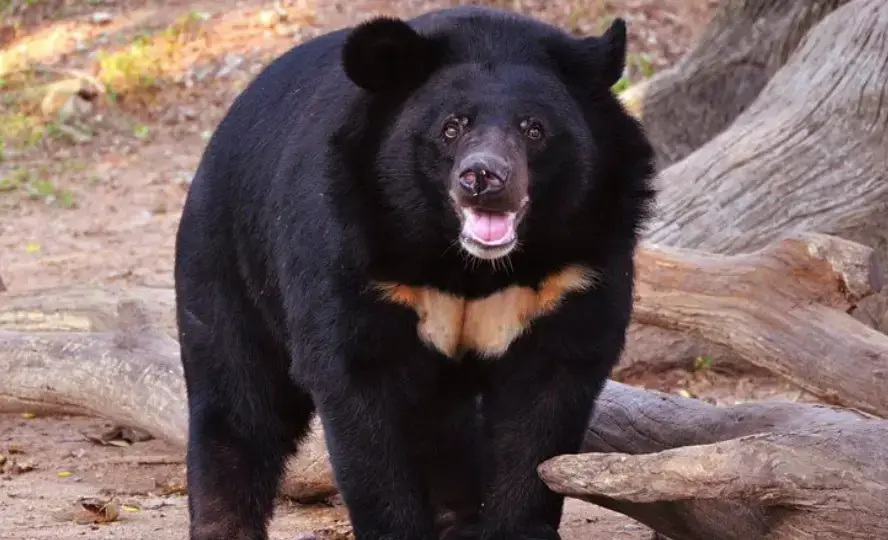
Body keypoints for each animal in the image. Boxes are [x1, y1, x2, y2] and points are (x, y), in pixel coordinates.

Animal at [175, 5, 652, 540]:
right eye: (451, 128)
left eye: (534, 129)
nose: (483, 178)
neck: (469, 266)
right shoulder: (352, 252)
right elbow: (361, 395)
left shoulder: (573, 272)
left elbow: (544, 405)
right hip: (227, 261)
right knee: (238, 403)